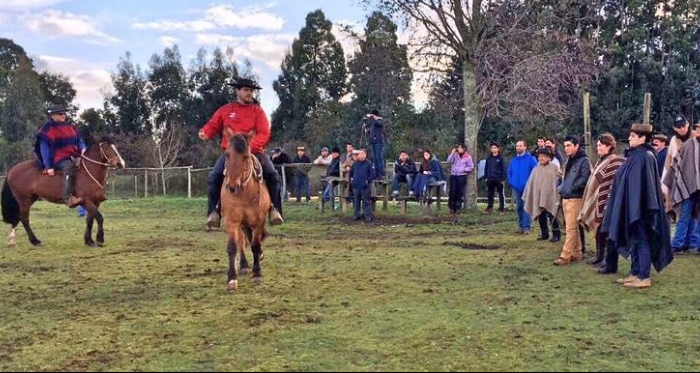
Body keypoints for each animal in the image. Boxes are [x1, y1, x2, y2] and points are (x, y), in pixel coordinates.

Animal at [223, 129, 270, 292]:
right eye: (227, 154)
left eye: (245, 157)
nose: (232, 186)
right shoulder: (231, 221)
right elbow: (232, 247)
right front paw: (232, 279)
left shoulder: (259, 221)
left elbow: (255, 246)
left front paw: (257, 274)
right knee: (242, 241)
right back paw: (243, 265)